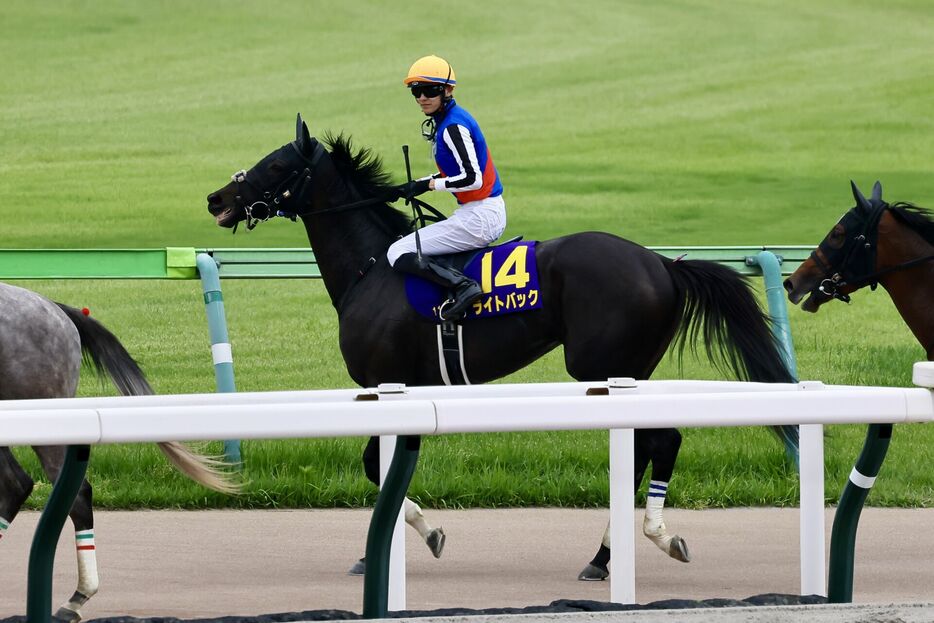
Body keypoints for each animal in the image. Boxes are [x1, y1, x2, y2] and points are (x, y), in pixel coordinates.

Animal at [207, 114, 796, 584]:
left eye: (275, 165)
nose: (217, 199)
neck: (371, 267)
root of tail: (663, 264)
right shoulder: (407, 392)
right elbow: (384, 470)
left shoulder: (383, 383)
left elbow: (377, 468)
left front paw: (414, 540)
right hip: (628, 371)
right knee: (642, 449)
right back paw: (604, 557)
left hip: (601, 364)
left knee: (663, 440)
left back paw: (651, 540)